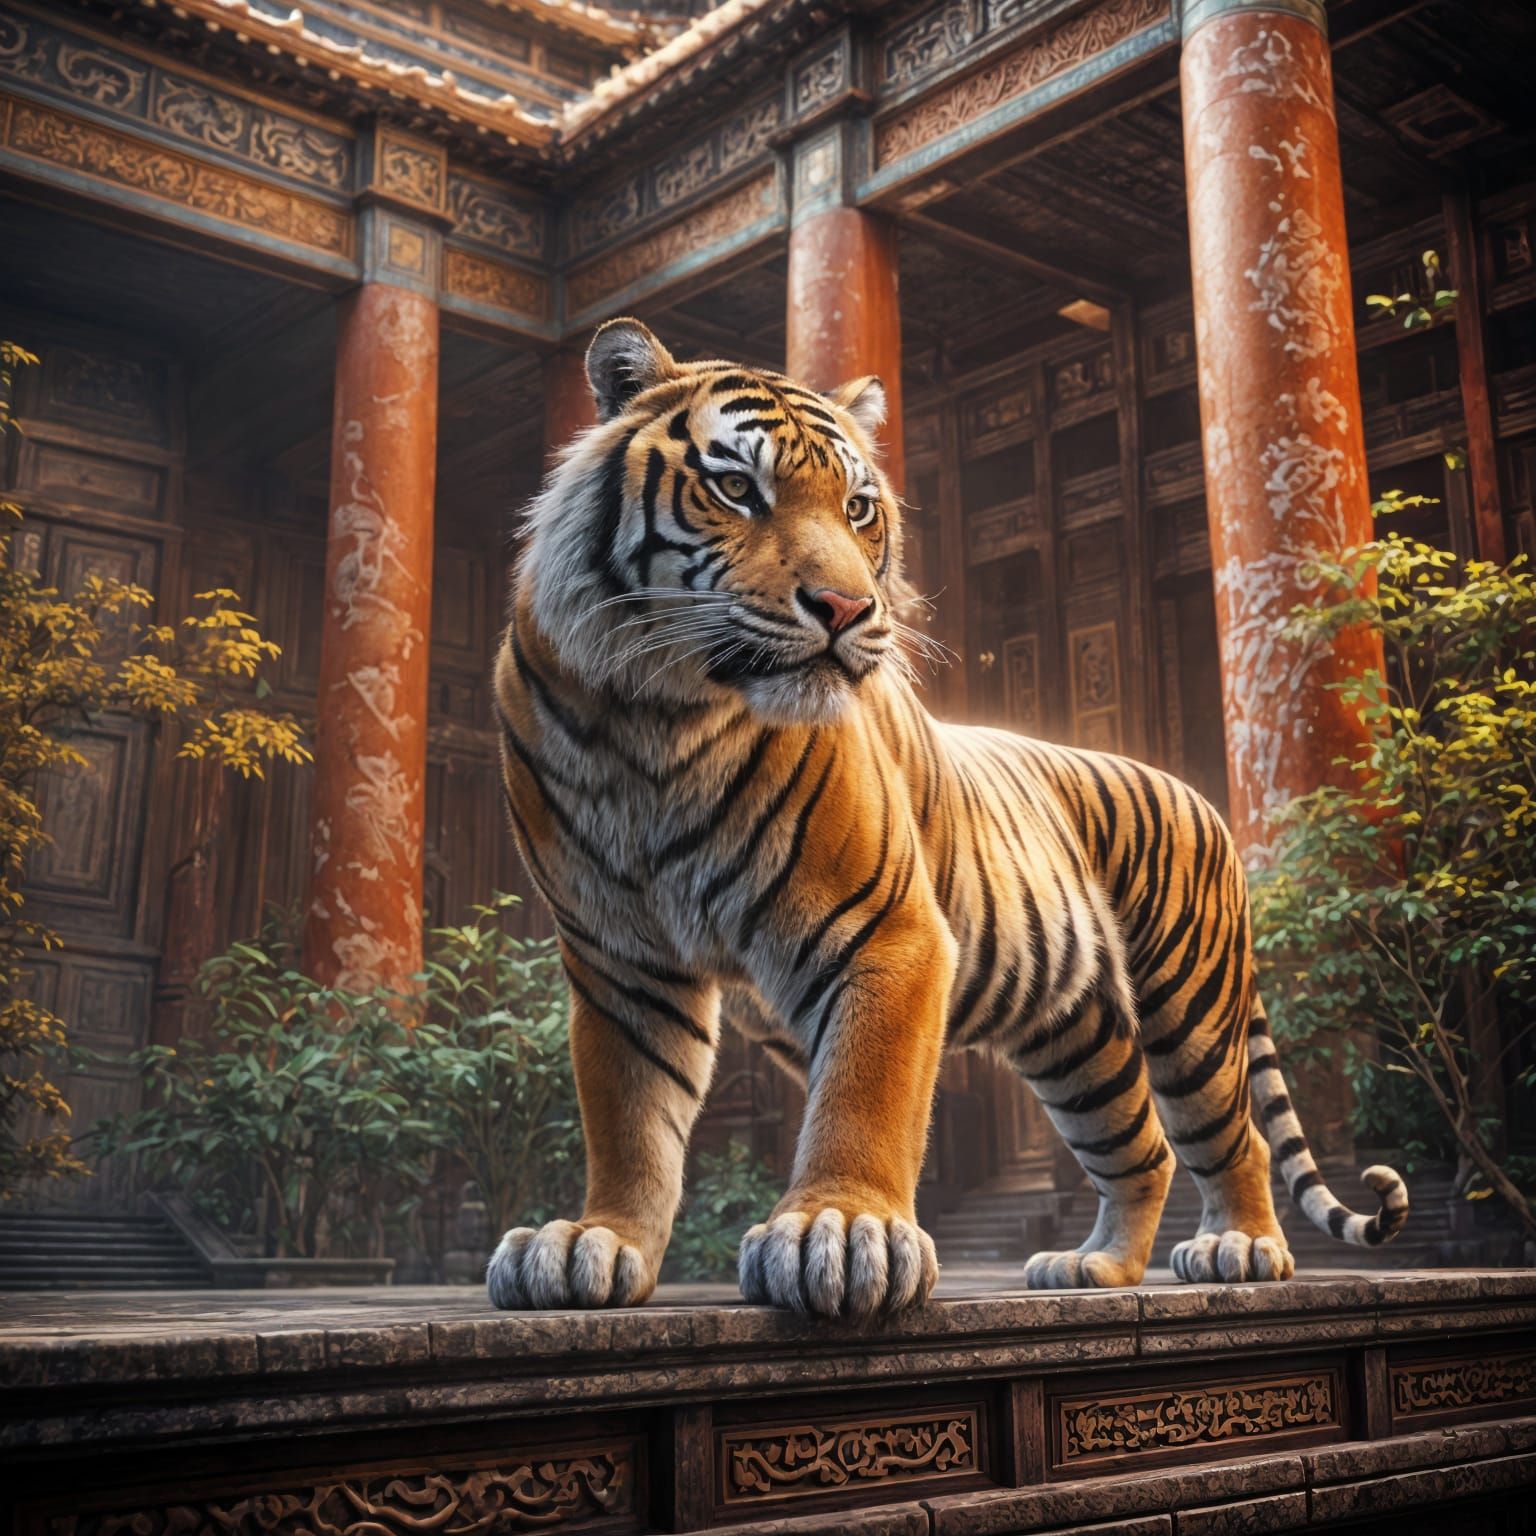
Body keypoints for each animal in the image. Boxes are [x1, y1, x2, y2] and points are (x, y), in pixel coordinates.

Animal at [485, 317, 1408, 1316]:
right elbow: (628, 1114)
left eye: (858, 508)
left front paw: (839, 1231)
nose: (847, 607)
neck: (654, 721)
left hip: (1187, 1004)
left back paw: (1241, 1247)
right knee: (1142, 1146)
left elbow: (863, 1093)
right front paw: (598, 1241)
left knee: (1231, 1136)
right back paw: (1095, 1268)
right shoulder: (622, 959)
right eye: (736, 489)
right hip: (1073, 1035)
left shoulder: (883, 928)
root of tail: (1199, 789)